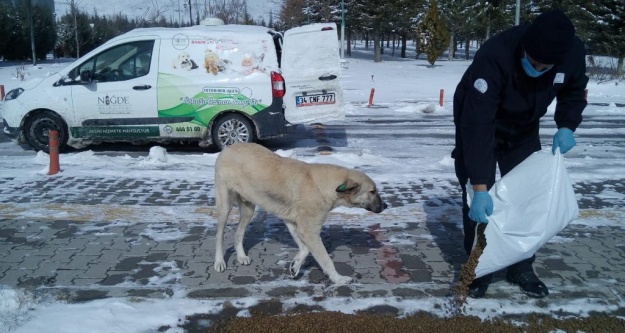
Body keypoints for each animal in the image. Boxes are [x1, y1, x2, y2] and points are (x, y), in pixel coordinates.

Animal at [213, 142, 386, 282]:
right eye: (372, 191)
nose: (385, 206)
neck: (324, 186)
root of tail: (228, 147)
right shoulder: (309, 231)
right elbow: (326, 259)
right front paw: (338, 279)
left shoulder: (294, 223)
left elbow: (305, 249)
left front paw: (295, 266)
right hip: (225, 206)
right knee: (219, 235)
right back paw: (219, 261)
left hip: (248, 209)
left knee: (238, 234)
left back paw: (241, 256)